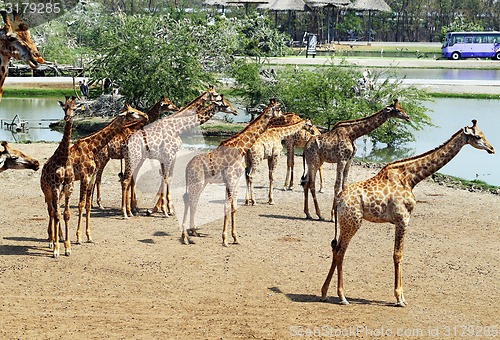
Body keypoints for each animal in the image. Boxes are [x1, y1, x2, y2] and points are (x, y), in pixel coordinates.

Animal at [63, 103, 148, 244]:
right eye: (131, 112)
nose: (145, 115)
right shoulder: (84, 177)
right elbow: (81, 205)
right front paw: (79, 238)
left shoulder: (91, 177)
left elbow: (87, 205)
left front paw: (89, 237)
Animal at [122, 87, 237, 218]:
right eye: (225, 104)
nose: (235, 111)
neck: (178, 127)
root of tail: (125, 143)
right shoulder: (169, 155)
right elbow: (167, 178)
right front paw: (166, 210)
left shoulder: (168, 156)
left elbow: (166, 177)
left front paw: (160, 208)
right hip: (135, 158)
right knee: (126, 180)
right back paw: (126, 212)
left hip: (135, 159)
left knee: (129, 179)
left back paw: (131, 209)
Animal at [181, 98, 284, 247]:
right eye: (278, 108)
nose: (283, 117)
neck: (240, 147)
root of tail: (187, 167)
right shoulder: (230, 179)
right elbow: (226, 207)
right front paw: (225, 239)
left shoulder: (235, 180)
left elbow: (233, 207)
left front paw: (235, 237)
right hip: (197, 182)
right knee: (189, 200)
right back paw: (185, 237)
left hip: (200, 183)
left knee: (193, 201)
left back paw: (193, 232)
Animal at [322, 120, 494, 308]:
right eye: (477, 136)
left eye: (483, 134)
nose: (492, 149)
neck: (411, 178)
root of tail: (339, 200)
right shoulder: (403, 219)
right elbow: (398, 255)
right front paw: (400, 298)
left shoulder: (402, 220)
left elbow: (400, 254)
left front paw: (401, 296)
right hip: (353, 222)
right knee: (341, 251)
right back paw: (342, 296)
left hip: (345, 222)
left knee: (335, 248)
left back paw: (324, 293)